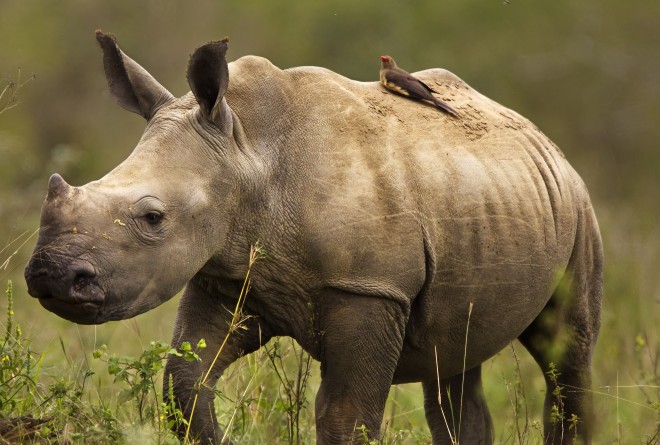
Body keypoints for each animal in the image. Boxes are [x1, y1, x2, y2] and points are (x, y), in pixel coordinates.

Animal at [27, 32, 604, 444]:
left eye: (152, 218)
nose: (50, 275)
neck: (249, 153)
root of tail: (543, 140)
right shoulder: (225, 273)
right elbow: (186, 385)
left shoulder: (369, 287)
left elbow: (345, 416)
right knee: (455, 361)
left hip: (578, 206)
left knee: (566, 349)